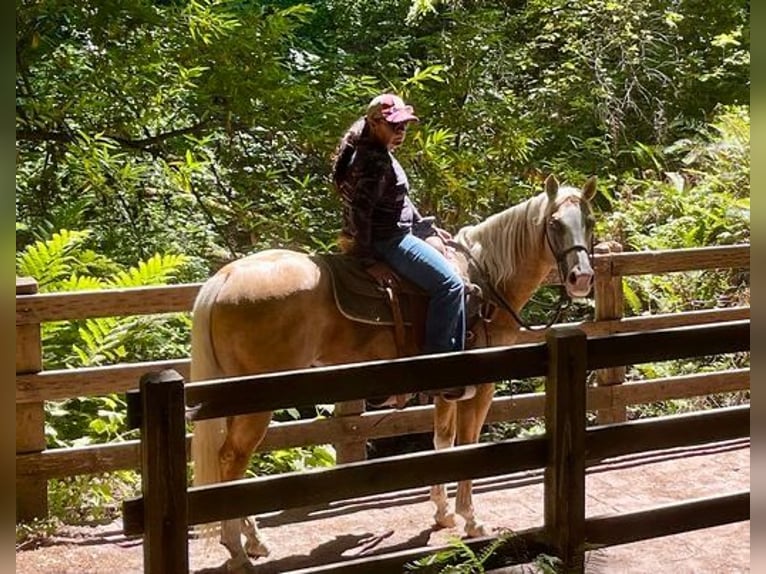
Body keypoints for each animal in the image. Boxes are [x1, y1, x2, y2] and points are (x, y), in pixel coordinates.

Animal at [190, 174, 600, 572]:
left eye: (590, 221)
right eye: (554, 223)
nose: (581, 278)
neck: (486, 281)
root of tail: (225, 277)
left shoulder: (447, 390)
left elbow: (442, 442)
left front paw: (443, 513)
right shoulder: (480, 386)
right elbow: (467, 446)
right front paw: (471, 520)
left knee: (230, 461)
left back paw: (254, 541)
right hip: (257, 401)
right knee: (232, 458)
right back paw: (238, 550)